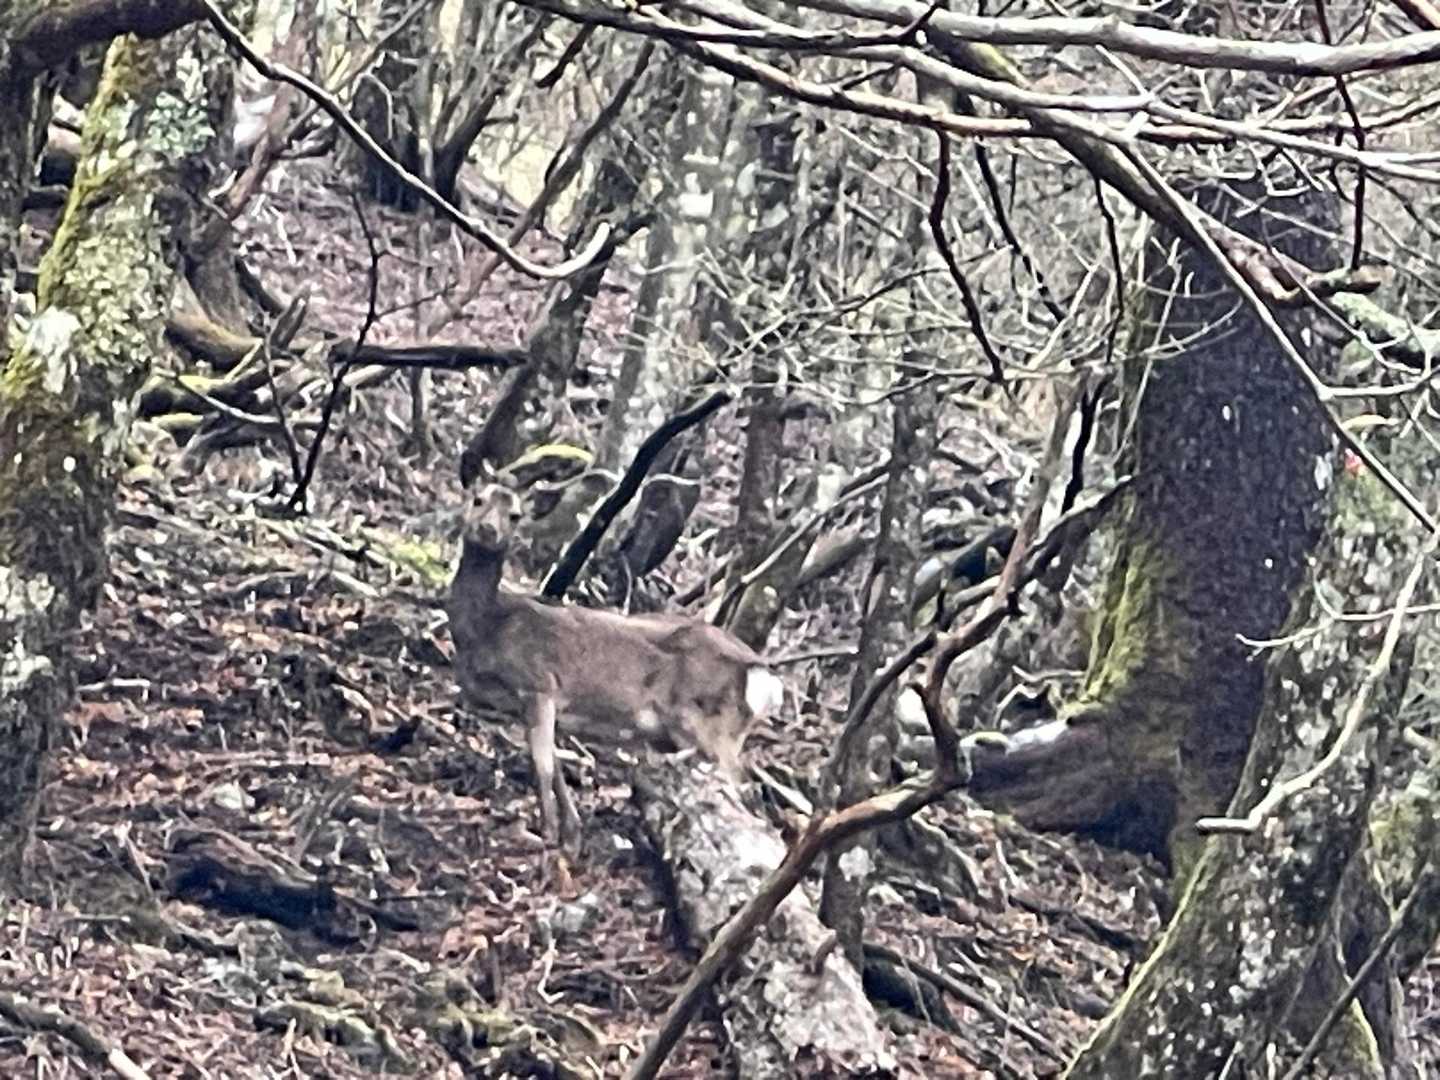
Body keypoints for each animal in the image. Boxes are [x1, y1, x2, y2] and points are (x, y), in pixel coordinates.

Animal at [446, 480, 784, 846]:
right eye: (477, 499)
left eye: (515, 515)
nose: (488, 529)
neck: (488, 627)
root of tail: (764, 675)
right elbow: (555, 764)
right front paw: (571, 832)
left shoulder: (540, 684)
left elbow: (543, 765)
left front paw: (547, 832)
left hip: (709, 726)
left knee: (744, 791)